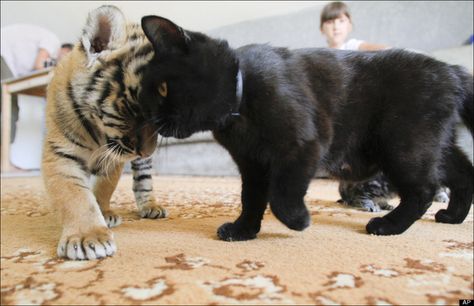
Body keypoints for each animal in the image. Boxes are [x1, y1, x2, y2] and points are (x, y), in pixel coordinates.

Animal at [139, 16, 472, 240]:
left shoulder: (303, 144)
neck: (242, 96)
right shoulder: (252, 163)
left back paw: (389, 225)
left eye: (163, 89)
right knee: (463, 173)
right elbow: (251, 198)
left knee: (424, 188)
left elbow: (281, 193)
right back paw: (453, 216)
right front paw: (244, 229)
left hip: (403, 143)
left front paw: (297, 220)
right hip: (433, 145)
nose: (149, 116)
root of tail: (451, 70)